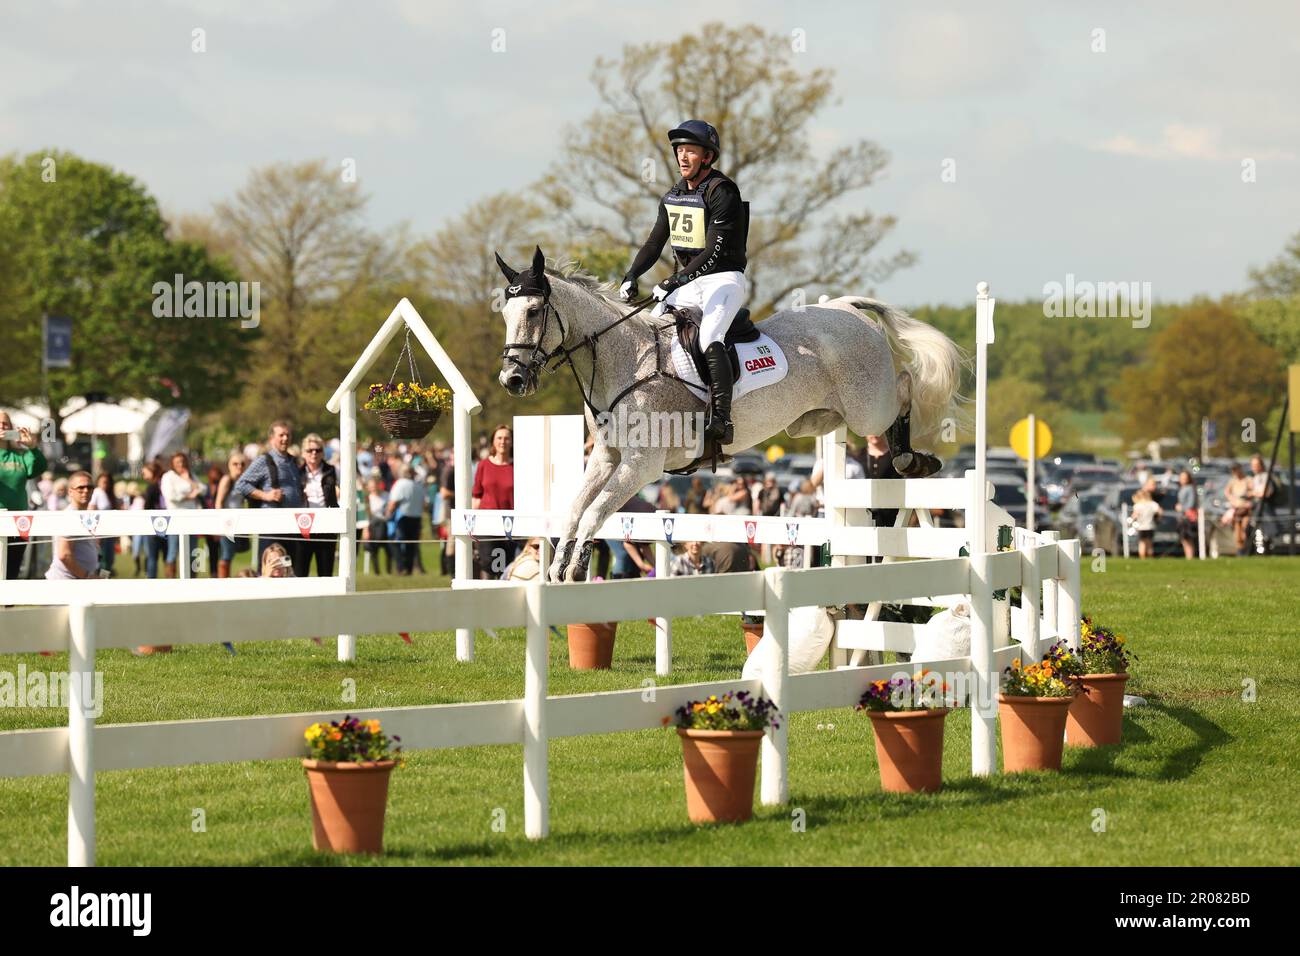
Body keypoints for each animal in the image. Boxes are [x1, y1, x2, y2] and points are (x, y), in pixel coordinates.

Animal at [496, 247, 967, 582]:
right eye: (504, 313)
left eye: (534, 312)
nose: (511, 379)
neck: (625, 359)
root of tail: (846, 308)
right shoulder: (607, 456)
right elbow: (576, 507)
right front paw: (558, 565)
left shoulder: (641, 464)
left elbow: (595, 511)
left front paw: (576, 568)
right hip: (815, 418)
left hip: (869, 407)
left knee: (905, 387)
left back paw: (913, 458)